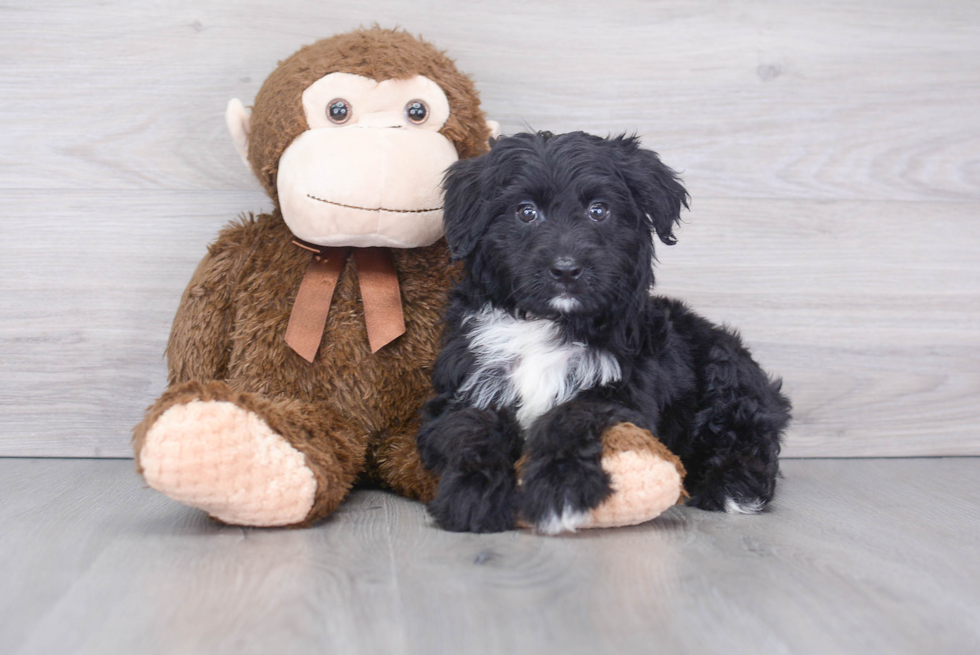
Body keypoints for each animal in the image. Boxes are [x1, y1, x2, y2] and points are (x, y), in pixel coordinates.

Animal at [418, 132, 792, 532]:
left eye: (599, 211)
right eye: (526, 212)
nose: (566, 269)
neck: (547, 323)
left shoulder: (622, 394)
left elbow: (573, 416)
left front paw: (560, 488)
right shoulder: (465, 387)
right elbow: (470, 426)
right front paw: (475, 491)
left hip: (726, 371)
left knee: (746, 437)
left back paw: (733, 488)